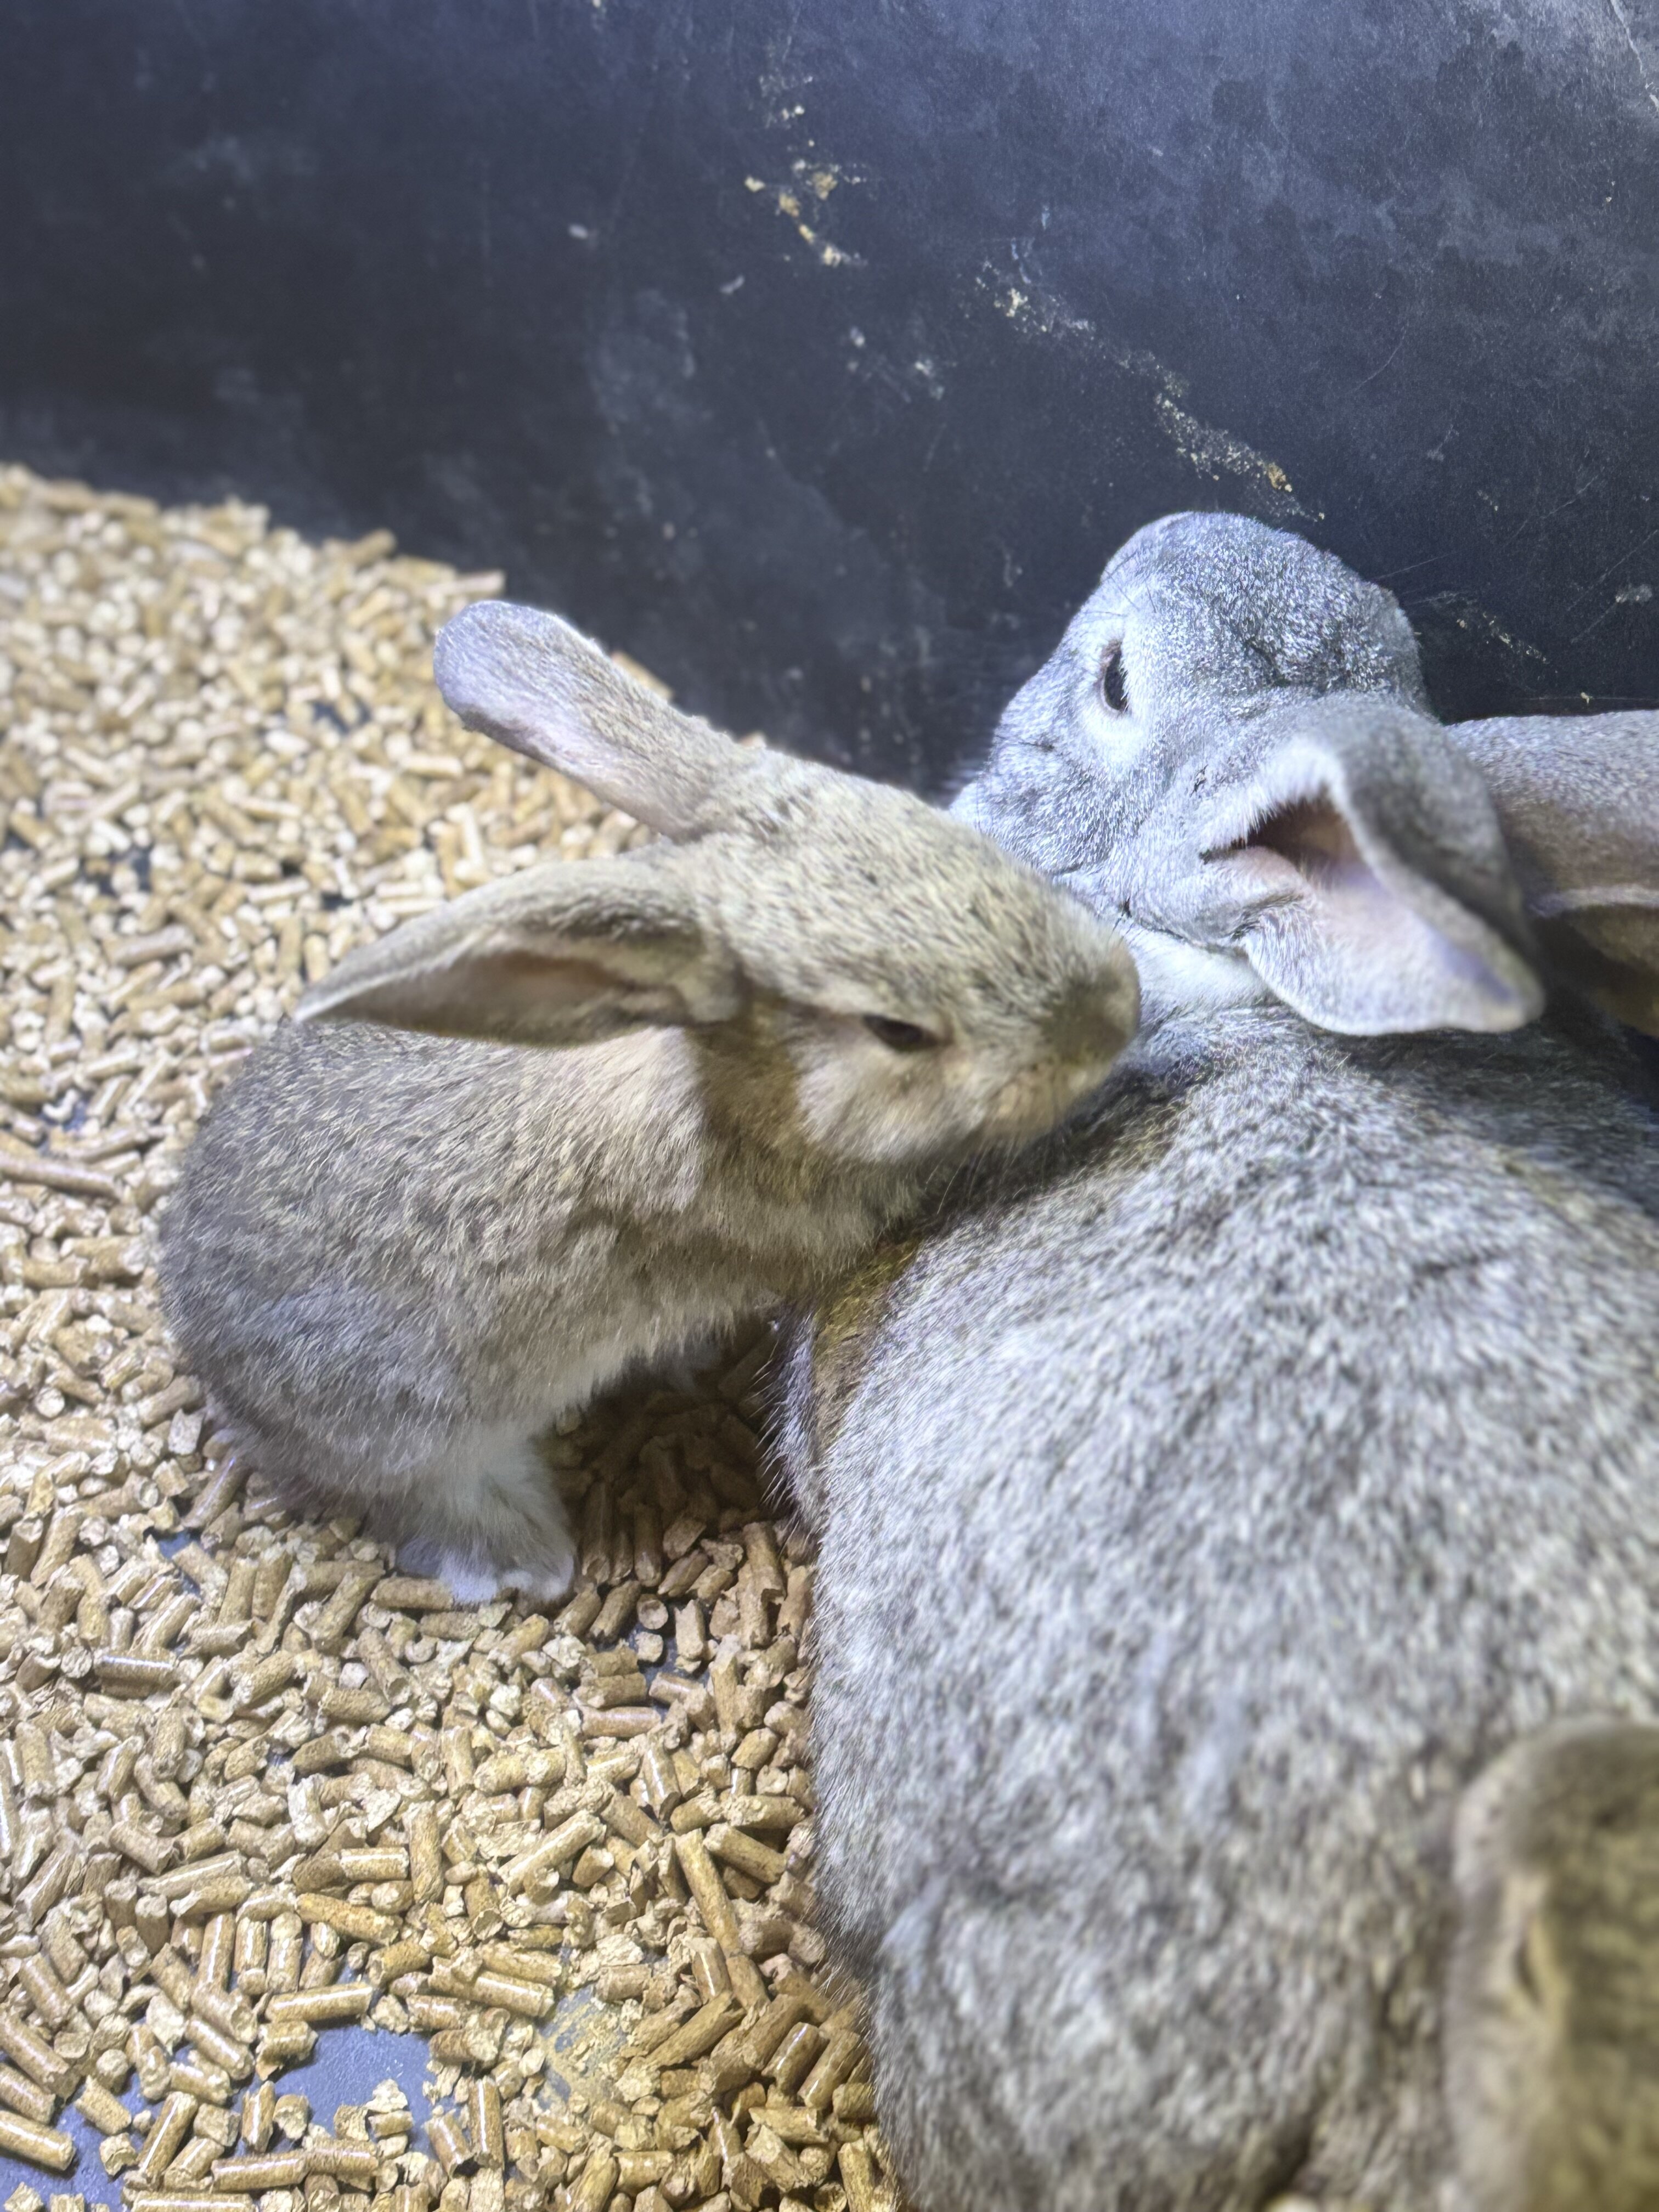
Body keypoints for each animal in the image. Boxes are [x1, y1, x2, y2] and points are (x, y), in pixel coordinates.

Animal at [158, 599, 1139, 1604]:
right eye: (894, 1030)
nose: (1118, 1007)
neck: (737, 1090)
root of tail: (199, 1338)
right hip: (425, 1444)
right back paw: (529, 1558)